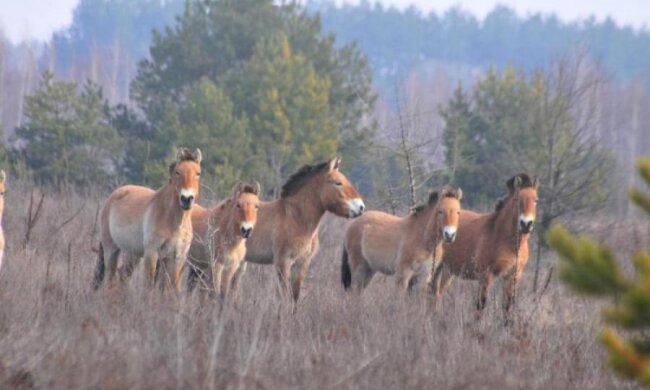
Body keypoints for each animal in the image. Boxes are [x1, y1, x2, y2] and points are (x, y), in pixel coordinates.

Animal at [92, 148, 201, 290]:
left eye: (198, 173)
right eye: (178, 172)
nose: (186, 199)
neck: (173, 219)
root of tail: (112, 197)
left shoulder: (177, 257)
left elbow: (172, 288)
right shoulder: (152, 254)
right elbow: (148, 286)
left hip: (133, 254)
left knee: (123, 278)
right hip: (111, 250)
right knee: (110, 280)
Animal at [244, 159, 364, 304]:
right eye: (338, 183)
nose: (361, 207)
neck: (294, 217)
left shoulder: (302, 263)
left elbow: (294, 297)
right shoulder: (283, 263)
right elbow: (284, 297)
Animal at [430, 174, 536, 322]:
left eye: (536, 200)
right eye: (517, 200)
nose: (526, 224)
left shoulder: (512, 277)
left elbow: (507, 308)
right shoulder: (486, 276)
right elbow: (481, 305)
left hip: (447, 271)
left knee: (438, 293)